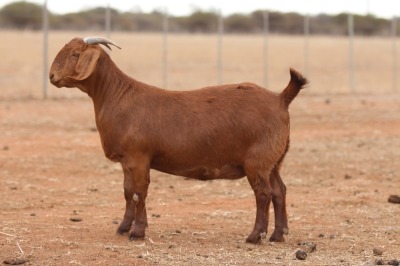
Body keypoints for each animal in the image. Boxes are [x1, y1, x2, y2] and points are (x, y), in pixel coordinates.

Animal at [48, 36, 308, 244]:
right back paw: (278, 234)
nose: (51, 76)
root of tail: (280, 98)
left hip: (258, 161)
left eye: (75, 54)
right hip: (274, 160)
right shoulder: (126, 161)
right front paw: (124, 227)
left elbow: (139, 192)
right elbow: (128, 191)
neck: (117, 95)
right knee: (279, 190)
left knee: (263, 193)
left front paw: (137, 232)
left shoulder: (138, 157)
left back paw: (255, 236)